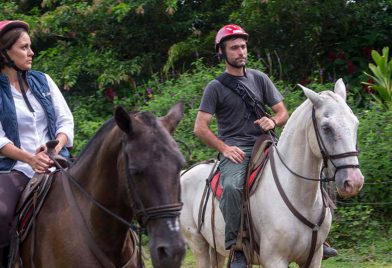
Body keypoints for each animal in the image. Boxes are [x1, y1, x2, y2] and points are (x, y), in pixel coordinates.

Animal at [181, 79, 364, 268]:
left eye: (356, 123)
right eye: (326, 128)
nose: (353, 182)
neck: (300, 197)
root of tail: (184, 172)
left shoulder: (314, 257)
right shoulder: (275, 259)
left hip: (216, 248)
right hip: (198, 244)